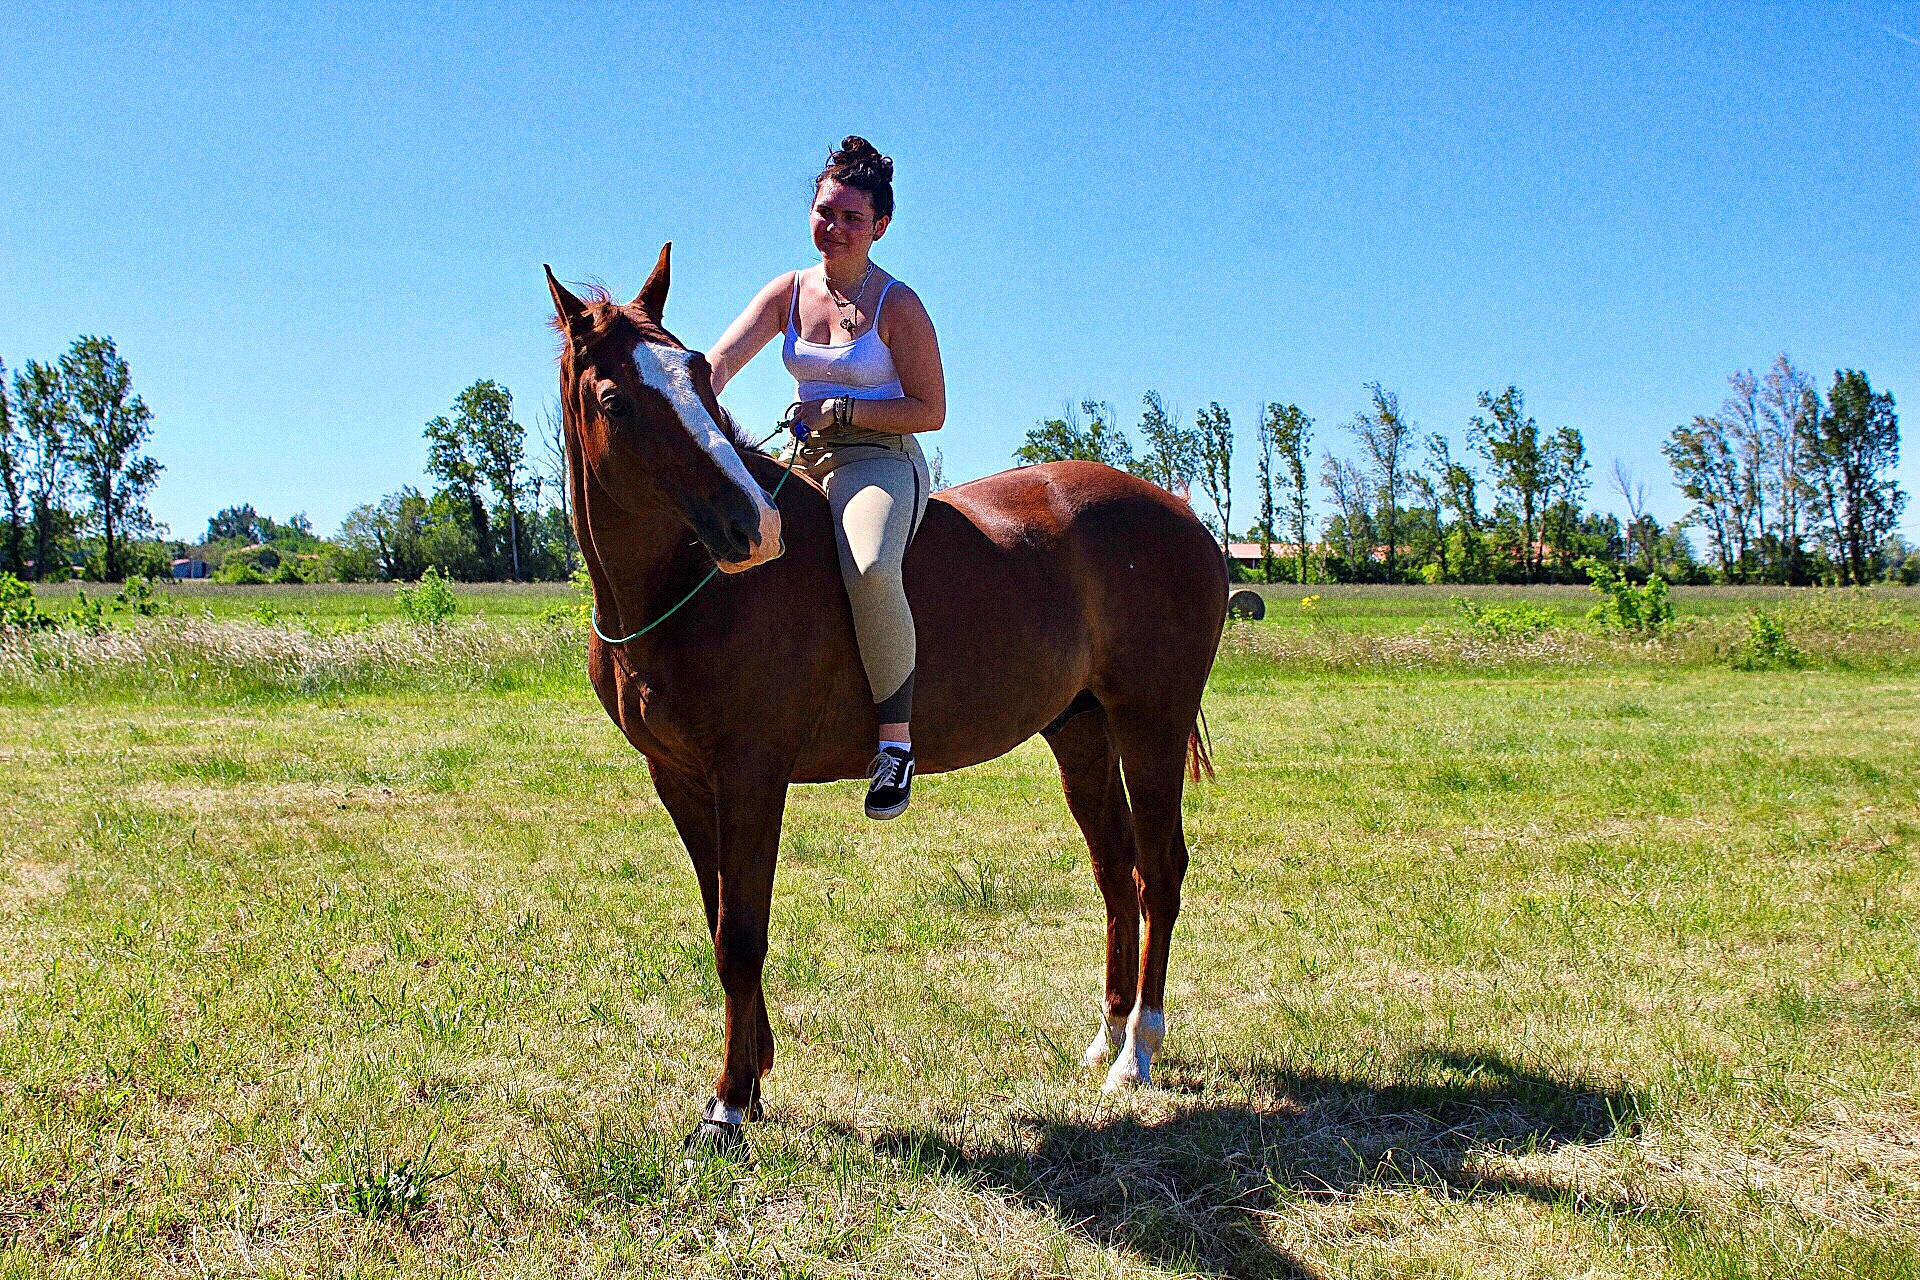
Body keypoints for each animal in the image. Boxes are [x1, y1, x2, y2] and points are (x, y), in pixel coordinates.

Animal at [546, 245, 1227, 1150]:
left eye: (696, 376)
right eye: (616, 399)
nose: (755, 530)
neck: (684, 588)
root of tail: (1181, 515)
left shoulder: (750, 776)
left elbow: (742, 936)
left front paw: (728, 1106)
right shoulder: (680, 780)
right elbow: (718, 917)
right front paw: (754, 1076)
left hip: (1149, 724)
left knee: (1159, 871)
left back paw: (1137, 1054)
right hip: (1081, 733)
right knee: (1116, 872)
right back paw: (1106, 1036)